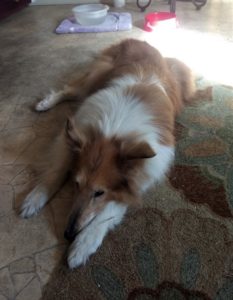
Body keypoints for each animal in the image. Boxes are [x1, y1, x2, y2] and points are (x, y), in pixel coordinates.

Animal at [19, 39, 209, 268]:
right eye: (75, 184)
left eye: (100, 193)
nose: (68, 234)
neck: (115, 131)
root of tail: (138, 41)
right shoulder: (72, 136)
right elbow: (56, 170)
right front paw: (34, 199)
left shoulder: (142, 176)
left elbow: (110, 209)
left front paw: (83, 245)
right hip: (97, 74)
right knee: (71, 89)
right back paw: (46, 103)